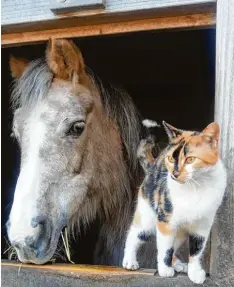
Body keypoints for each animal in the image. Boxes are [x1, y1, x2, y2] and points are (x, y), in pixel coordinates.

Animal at [122, 120, 227, 286]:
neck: (195, 187)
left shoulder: (203, 225)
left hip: (181, 232)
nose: (174, 174)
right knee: (135, 234)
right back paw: (129, 261)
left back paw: (178, 264)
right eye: (171, 159)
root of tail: (153, 165)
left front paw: (194, 273)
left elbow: (197, 250)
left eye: (190, 159)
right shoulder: (165, 220)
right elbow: (165, 248)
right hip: (148, 216)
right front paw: (165, 270)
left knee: (174, 245)